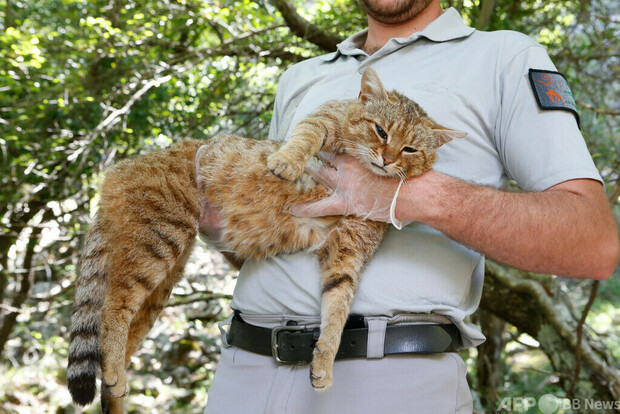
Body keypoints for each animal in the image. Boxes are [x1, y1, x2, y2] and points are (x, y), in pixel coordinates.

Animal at [66, 67, 464, 410]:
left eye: (410, 149)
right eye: (381, 131)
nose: (386, 158)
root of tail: (120, 169)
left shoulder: (347, 251)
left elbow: (337, 308)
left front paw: (324, 360)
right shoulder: (326, 118)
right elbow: (305, 135)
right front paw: (286, 161)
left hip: (162, 278)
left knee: (118, 332)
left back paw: (116, 385)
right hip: (158, 239)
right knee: (113, 307)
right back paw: (114, 371)